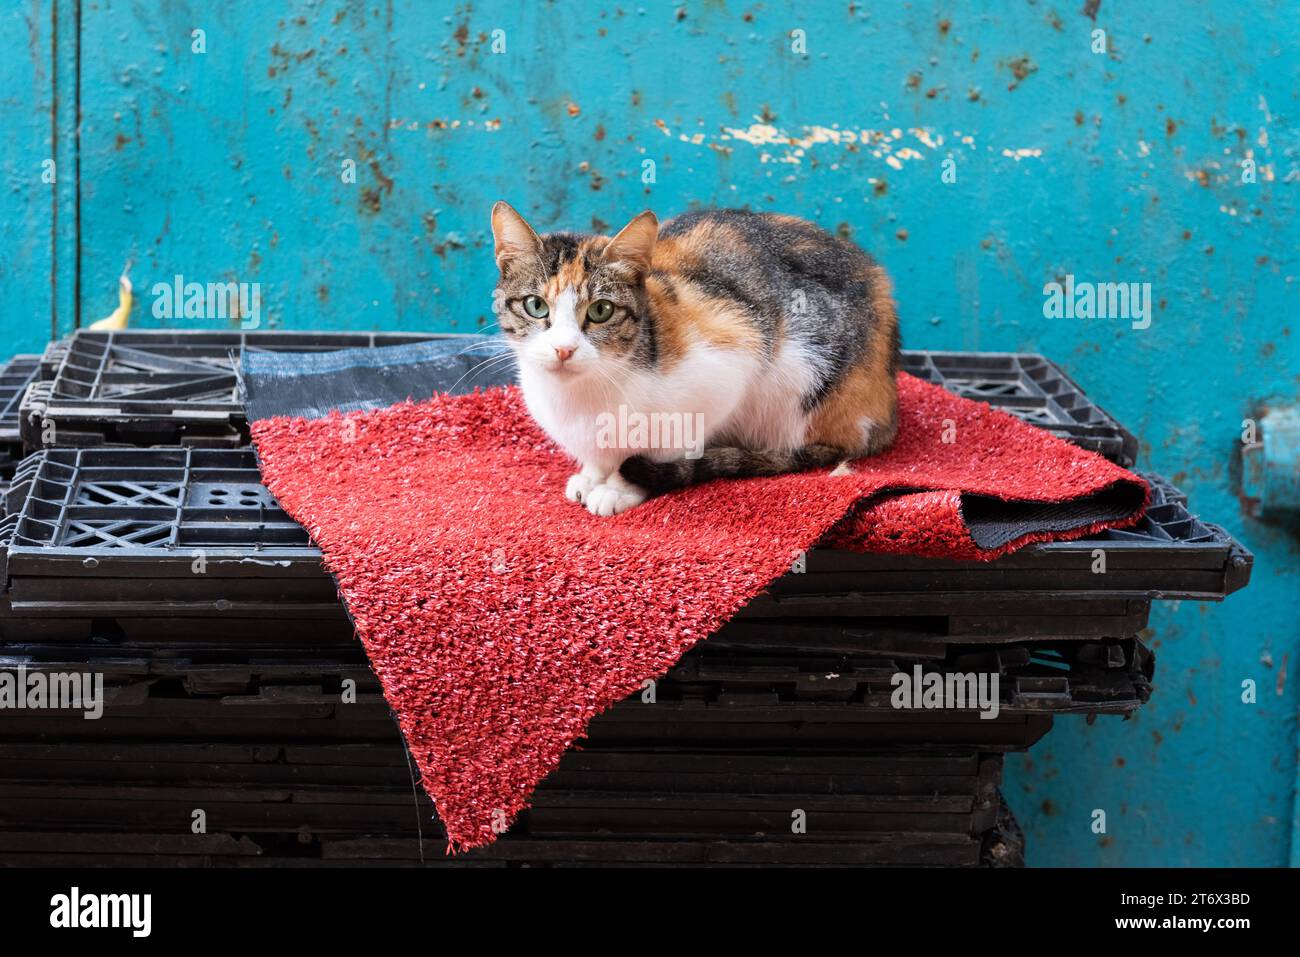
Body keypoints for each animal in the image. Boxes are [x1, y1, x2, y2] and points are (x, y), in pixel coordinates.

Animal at [488, 202, 904, 514]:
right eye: (536, 305)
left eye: (601, 311)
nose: (563, 349)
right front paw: (592, 475)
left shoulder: (732, 354)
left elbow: (669, 446)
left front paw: (619, 487)